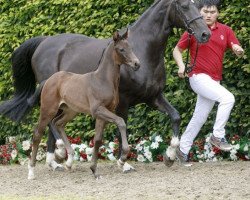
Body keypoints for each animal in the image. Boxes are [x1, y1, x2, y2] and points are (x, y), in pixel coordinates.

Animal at [28, 30, 141, 180]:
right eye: (121, 49)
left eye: (131, 48)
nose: (137, 64)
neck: (102, 80)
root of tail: (47, 80)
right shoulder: (98, 110)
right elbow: (121, 122)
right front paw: (122, 159)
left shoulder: (104, 113)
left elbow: (98, 140)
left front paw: (94, 170)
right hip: (48, 109)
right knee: (37, 134)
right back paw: (31, 172)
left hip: (70, 111)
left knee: (58, 123)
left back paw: (69, 162)